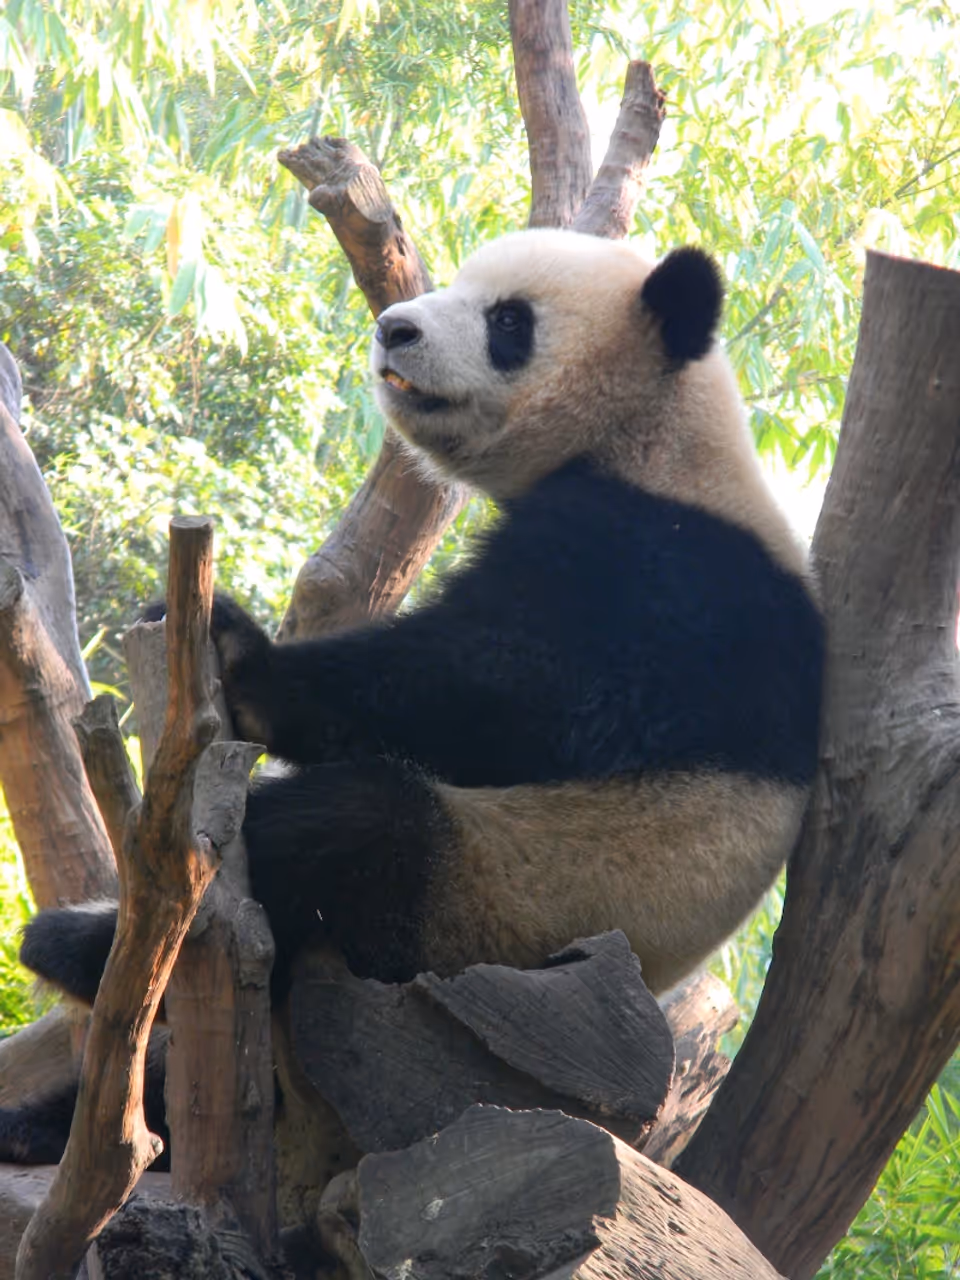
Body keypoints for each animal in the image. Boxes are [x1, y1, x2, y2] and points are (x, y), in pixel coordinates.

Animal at [6, 230, 823, 1161]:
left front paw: (239, 653)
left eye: (509, 320)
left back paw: (74, 943)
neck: (660, 430)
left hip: (491, 910)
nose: (394, 328)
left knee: (356, 828)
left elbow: (495, 691)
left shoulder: (665, 574)